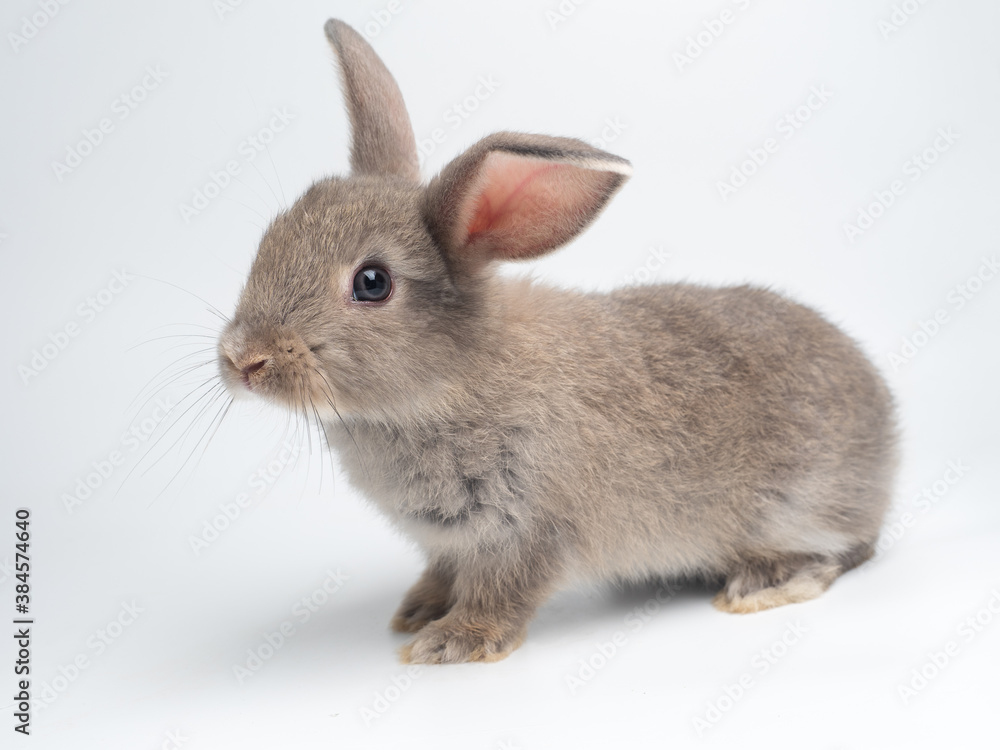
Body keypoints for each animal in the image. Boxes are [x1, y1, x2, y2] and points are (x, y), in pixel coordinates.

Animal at [217, 19, 897, 664]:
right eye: (271, 236)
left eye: (372, 283)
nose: (242, 359)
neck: (448, 382)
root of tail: (889, 434)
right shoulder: (450, 542)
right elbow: (443, 572)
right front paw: (416, 611)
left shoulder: (525, 529)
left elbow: (502, 592)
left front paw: (451, 643)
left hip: (797, 507)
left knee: (843, 551)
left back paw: (763, 585)